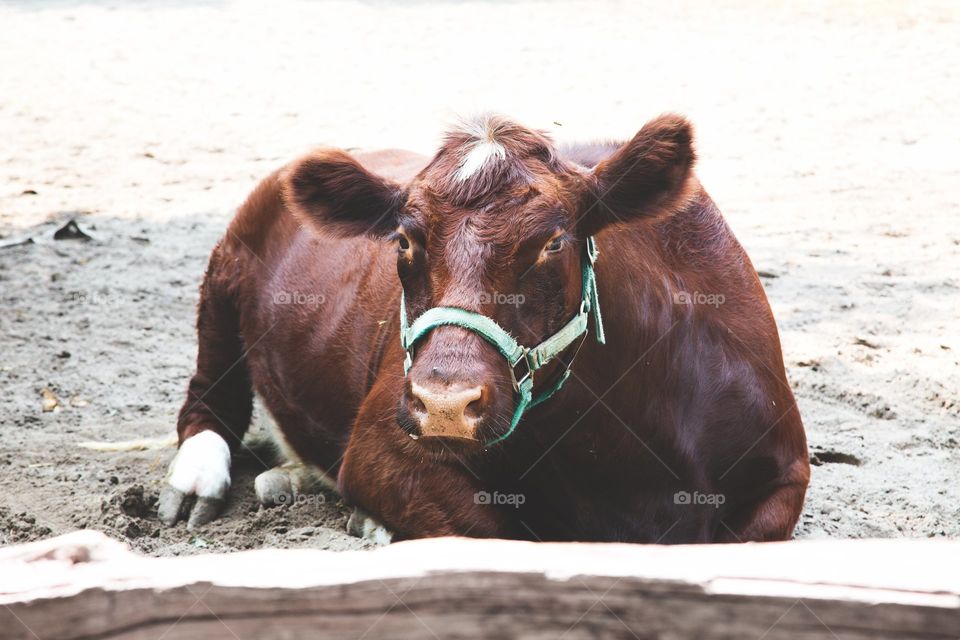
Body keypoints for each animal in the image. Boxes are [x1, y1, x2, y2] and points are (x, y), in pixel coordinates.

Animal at [158, 114, 809, 543]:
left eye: (554, 242)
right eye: (403, 240)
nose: (445, 404)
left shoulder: (786, 472)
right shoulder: (380, 445)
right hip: (224, 271)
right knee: (208, 393)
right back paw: (197, 480)